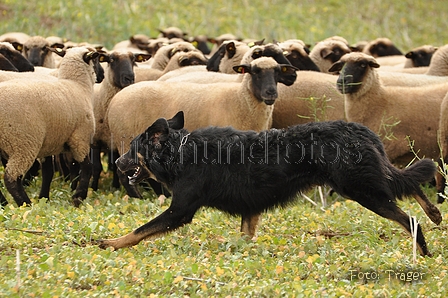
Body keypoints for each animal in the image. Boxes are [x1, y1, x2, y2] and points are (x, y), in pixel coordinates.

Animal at [0, 47, 99, 208]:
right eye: (96, 60)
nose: (102, 76)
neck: (78, 85)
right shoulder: (80, 138)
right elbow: (86, 167)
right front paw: (78, 196)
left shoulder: (48, 143)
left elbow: (48, 172)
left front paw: (44, 198)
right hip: (23, 143)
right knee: (11, 179)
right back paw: (26, 204)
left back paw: (4, 203)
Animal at [98, 112, 440, 256]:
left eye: (131, 149)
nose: (116, 163)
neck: (180, 152)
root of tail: (363, 132)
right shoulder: (250, 208)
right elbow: (245, 236)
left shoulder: (180, 210)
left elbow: (139, 231)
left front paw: (110, 243)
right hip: (367, 183)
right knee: (411, 180)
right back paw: (434, 212)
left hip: (360, 189)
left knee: (409, 218)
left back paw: (422, 250)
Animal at [103, 57, 296, 199]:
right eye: (255, 72)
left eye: (277, 72)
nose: (271, 93)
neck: (240, 99)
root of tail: (114, 100)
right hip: (125, 139)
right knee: (123, 173)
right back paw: (138, 198)